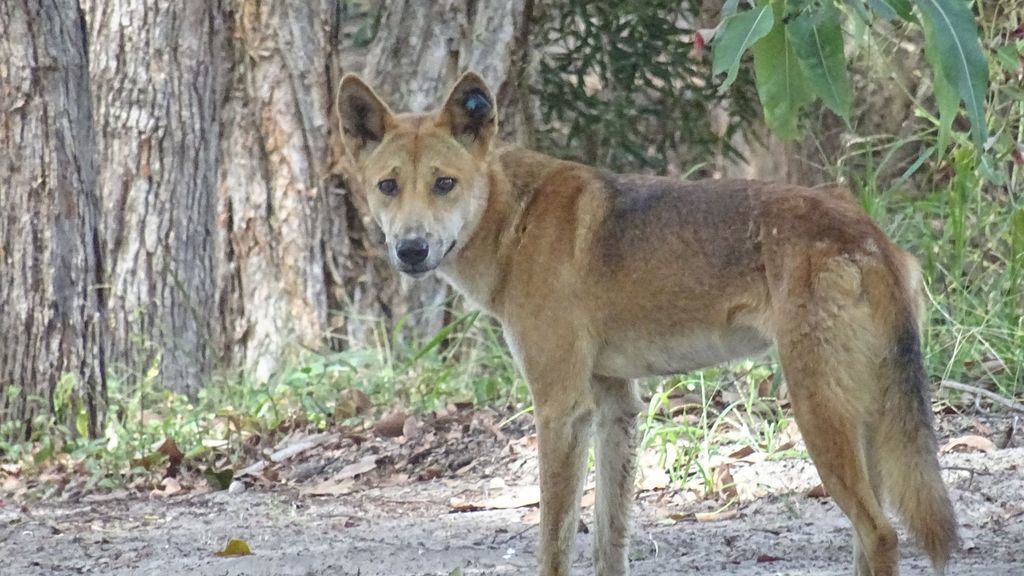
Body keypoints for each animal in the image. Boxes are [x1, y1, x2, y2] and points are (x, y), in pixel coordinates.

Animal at [339, 71, 954, 573]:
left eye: (444, 184)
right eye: (388, 186)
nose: (411, 250)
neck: (517, 220)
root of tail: (867, 236)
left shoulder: (561, 409)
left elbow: (554, 543)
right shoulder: (616, 403)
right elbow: (610, 541)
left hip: (818, 414)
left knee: (881, 535)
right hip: (862, 419)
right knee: (870, 535)